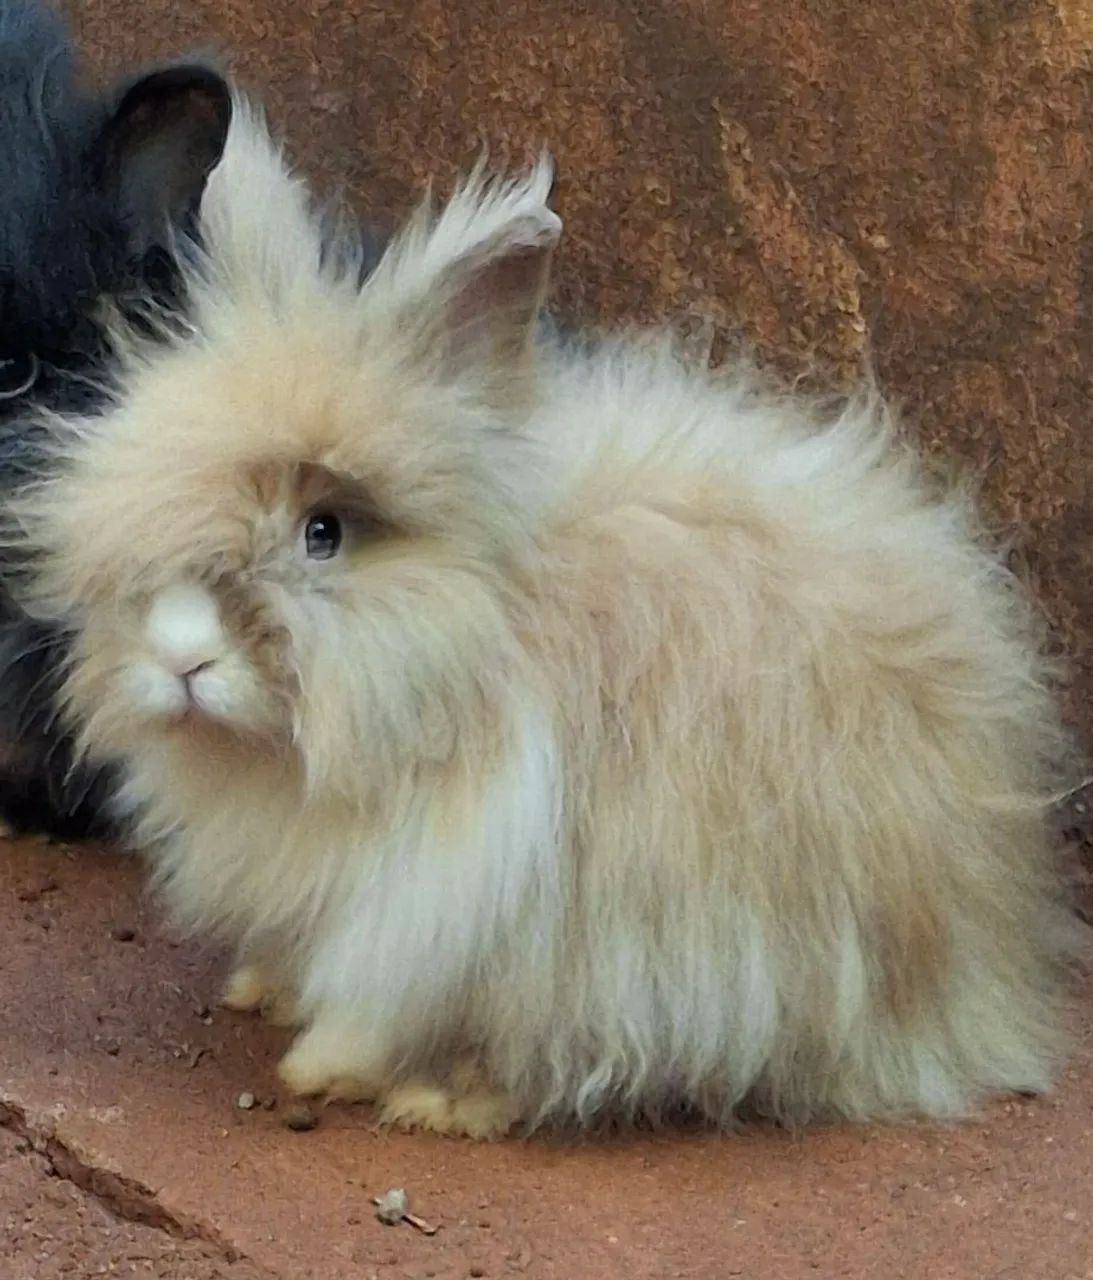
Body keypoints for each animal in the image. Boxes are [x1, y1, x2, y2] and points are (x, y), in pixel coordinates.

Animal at [10, 99, 1080, 1139]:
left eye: (325, 533)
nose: (181, 657)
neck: (477, 643)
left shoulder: (472, 892)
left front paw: (342, 1070)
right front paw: (264, 992)